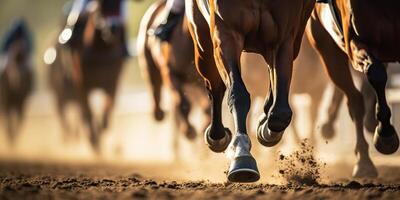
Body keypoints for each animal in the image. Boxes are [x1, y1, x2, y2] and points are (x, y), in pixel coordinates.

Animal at [137, 0, 209, 144]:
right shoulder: (171, 72)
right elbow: (182, 103)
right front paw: (188, 131)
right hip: (149, 65)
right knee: (156, 90)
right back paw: (160, 113)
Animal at [187, 0, 316, 182]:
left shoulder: (284, 38)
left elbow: (280, 112)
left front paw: (267, 127)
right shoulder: (226, 33)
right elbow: (237, 94)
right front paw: (242, 154)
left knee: (271, 70)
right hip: (202, 41)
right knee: (215, 86)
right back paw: (217, 136)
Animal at [306, 0, 400, 178]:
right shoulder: (355, 43)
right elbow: (375, 73)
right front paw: (385, 133)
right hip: (327, 50)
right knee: (355, 100)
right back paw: (364, 162)